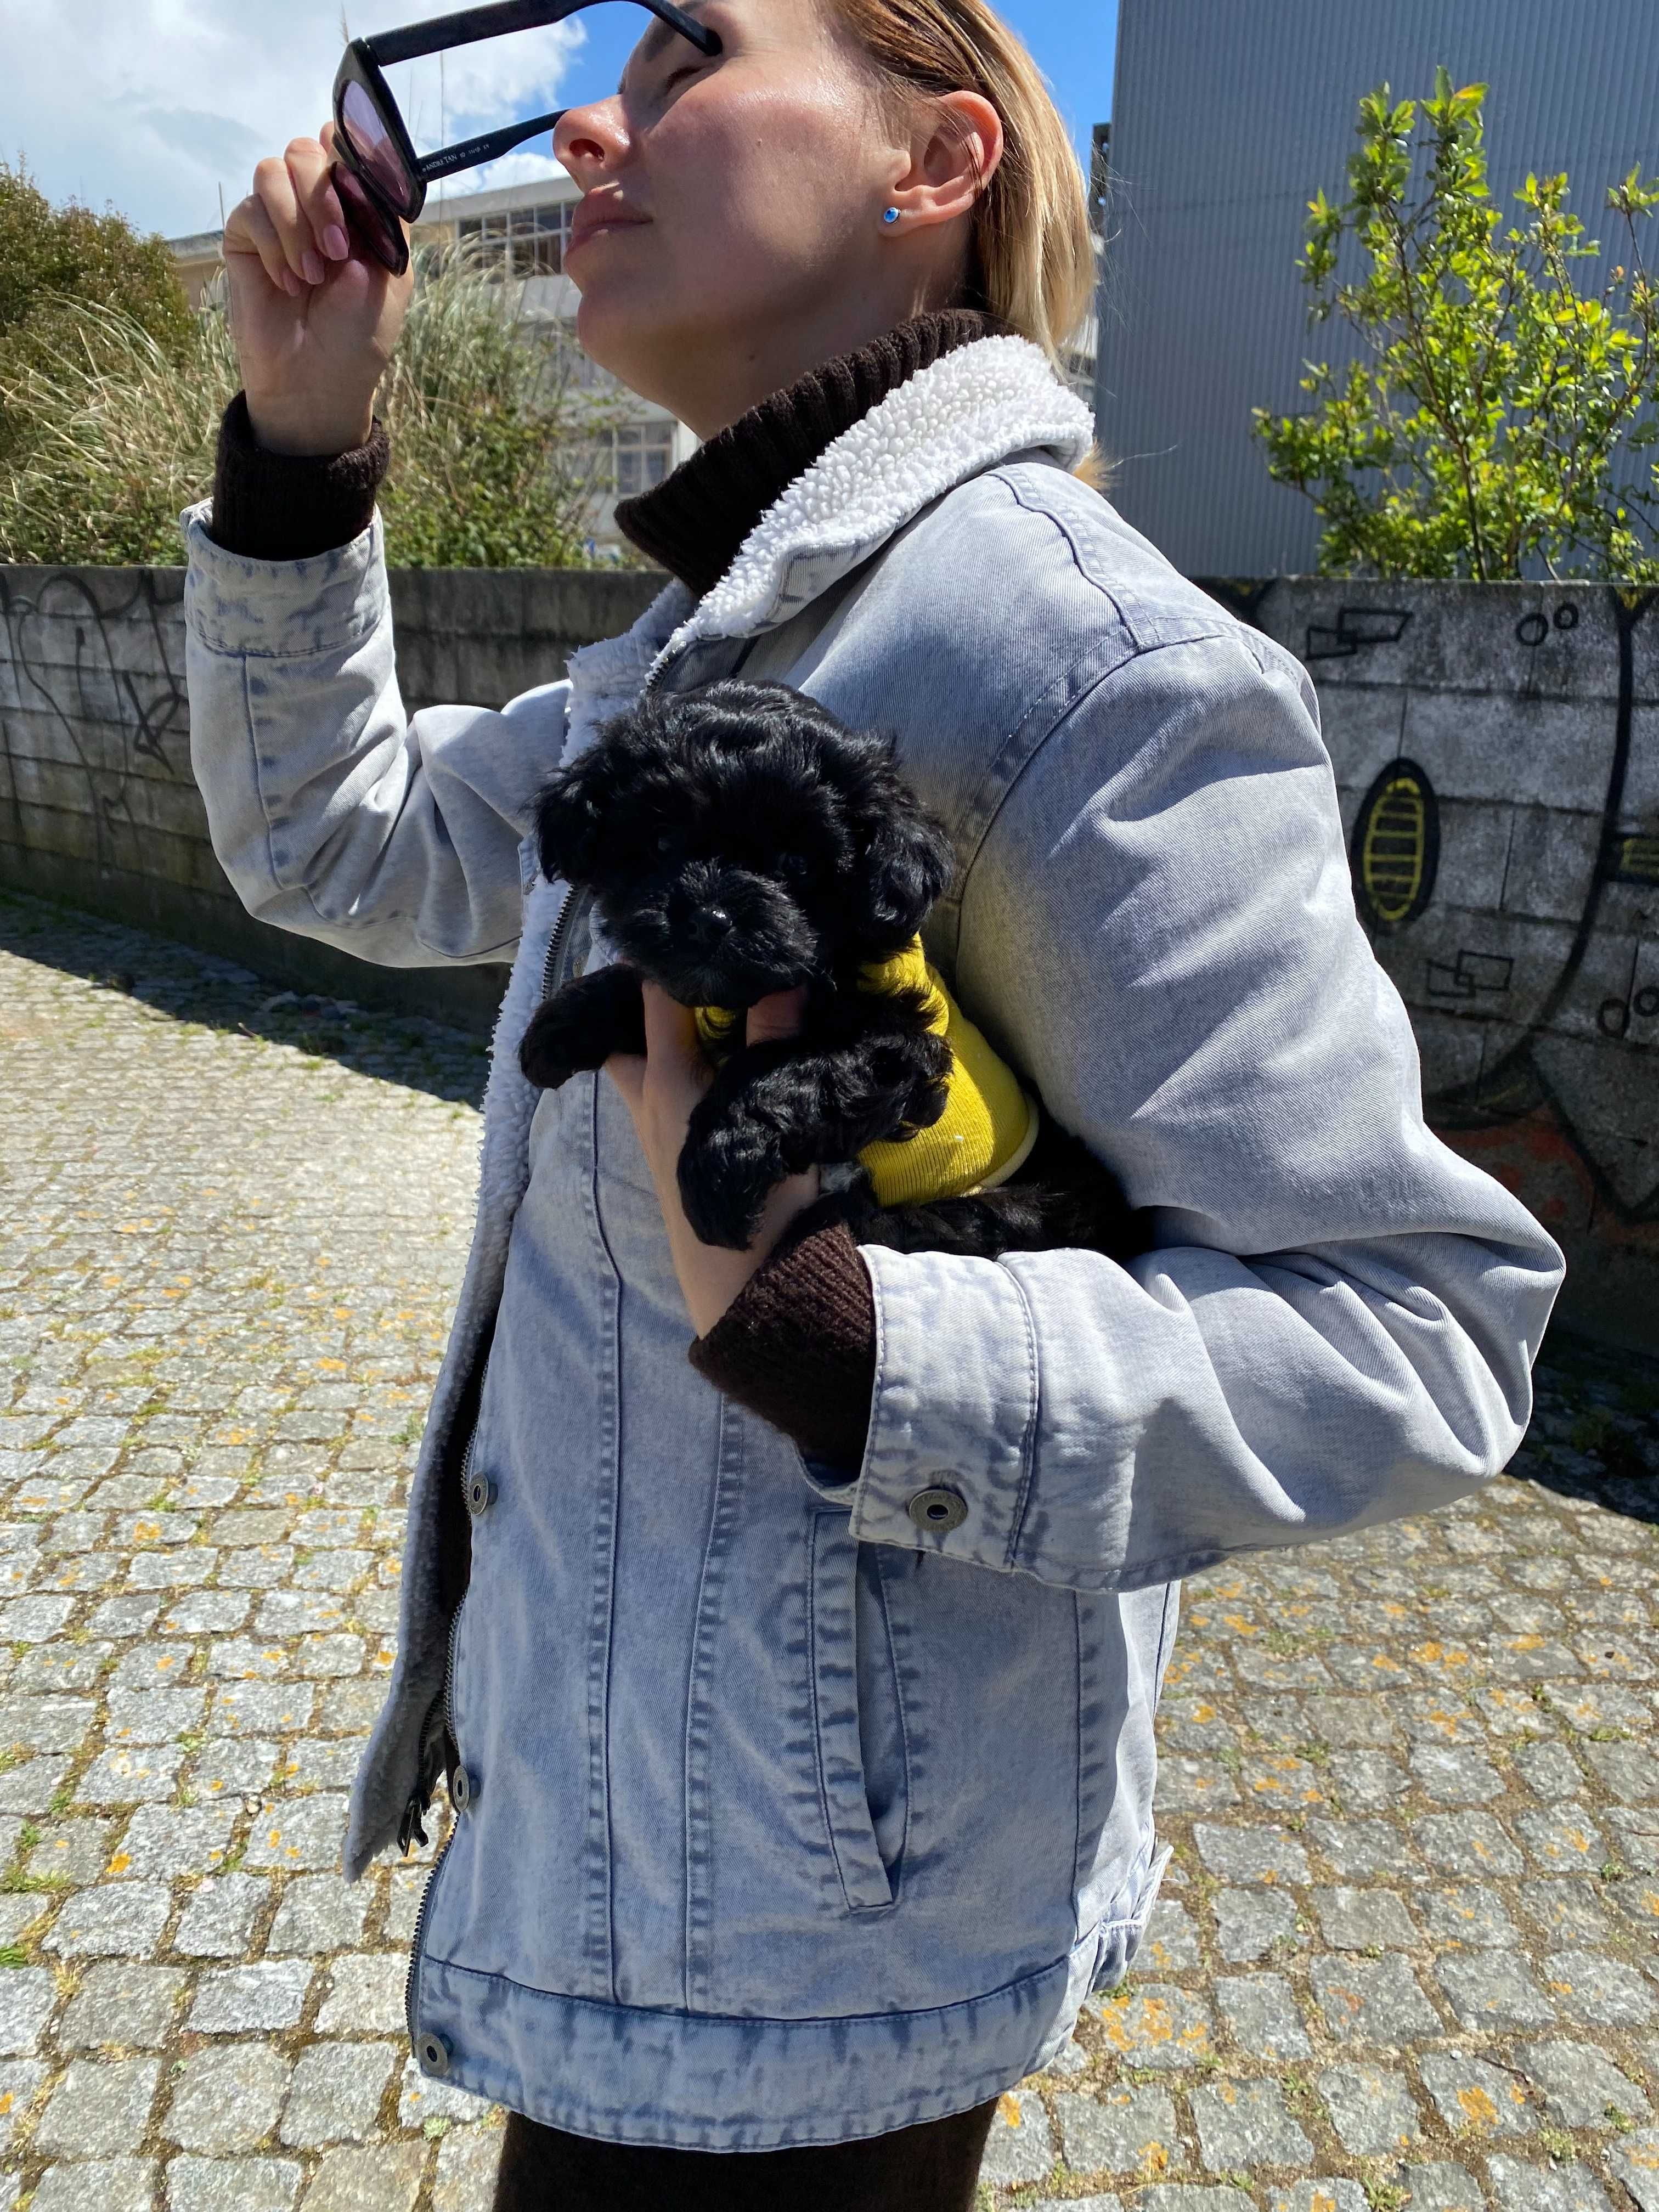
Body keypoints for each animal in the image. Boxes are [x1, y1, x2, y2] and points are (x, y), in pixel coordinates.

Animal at [520, 672, 1141, 1265]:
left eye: (797, 864)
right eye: (664, 841)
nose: (708, 919)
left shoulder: (901, 1046)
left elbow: (786, 1068)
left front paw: (719, 1165)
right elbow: (647, 984)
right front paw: (561, 1026)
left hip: (1012, 1207)